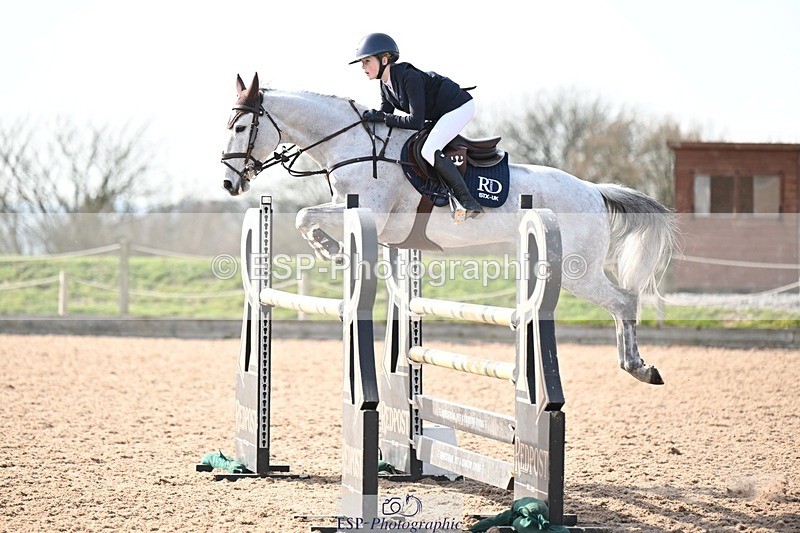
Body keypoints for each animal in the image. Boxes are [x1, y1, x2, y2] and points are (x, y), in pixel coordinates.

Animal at [221, 73, 676, 385]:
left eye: (241, 128)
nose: (229, 183)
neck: (355, 146)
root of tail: (594, 191)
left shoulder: (369, 213)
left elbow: (304, 216)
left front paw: (328, 249)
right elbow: (307, 216)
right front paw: (328, 249)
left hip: (578, 270)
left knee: (623, 300)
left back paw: (639, 367)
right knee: (621, 301)